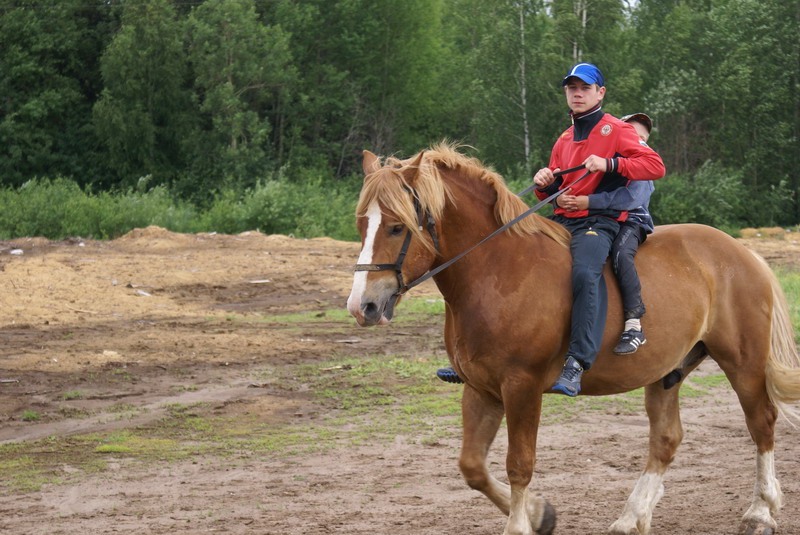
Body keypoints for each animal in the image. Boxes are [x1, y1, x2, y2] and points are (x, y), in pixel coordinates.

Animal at [346, 142, 800, 535]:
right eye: (361, 224)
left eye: (396, 227)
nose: (362, 306)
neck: (498, 271)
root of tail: (741, 252)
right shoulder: (481, 388)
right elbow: (472, 467)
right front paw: (539, 513)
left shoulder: (521, 386)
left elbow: (519, 463)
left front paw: (519, 524)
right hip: (667, 372)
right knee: (666, 439)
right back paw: (631, 517)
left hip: (742, 362)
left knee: (761, 424)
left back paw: (760, 512)